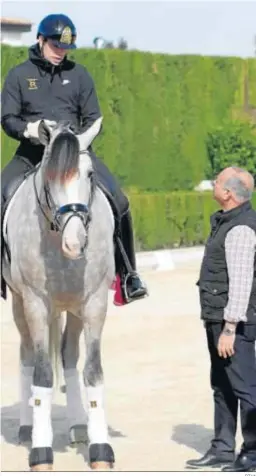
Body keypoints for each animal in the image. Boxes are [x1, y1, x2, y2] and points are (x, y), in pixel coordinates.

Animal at [1, 121, 116, 470]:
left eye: (89, 175)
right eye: (50, 177)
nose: (75, 243)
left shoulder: (95, 303)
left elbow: (92, 372)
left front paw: (101, 448)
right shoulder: (36, 305)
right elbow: (41, 375)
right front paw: (41, 452)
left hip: (74, 309)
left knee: (68, 355)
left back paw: (79, 426)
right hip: (21, 306)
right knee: (27, 356)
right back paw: (27, 429)